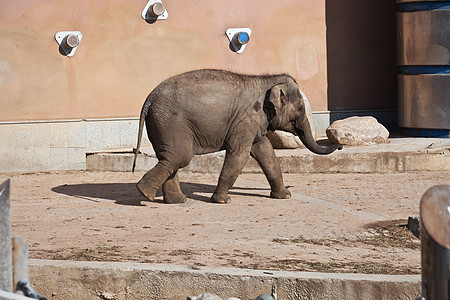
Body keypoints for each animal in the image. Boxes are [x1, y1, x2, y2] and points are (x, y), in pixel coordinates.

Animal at [132, 69, 340, 203]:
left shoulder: (254, 123)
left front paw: (284, 197)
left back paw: (174, 200)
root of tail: (148, 99)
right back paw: (145, 194)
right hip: (171, 123)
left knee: (169, 158)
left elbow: (266, 152)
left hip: (161, 125)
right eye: (300, 109)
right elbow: (239, 155)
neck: (266, 81)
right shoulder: (246, 120)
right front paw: (223, 201)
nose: (339, 145)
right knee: (179, 158)